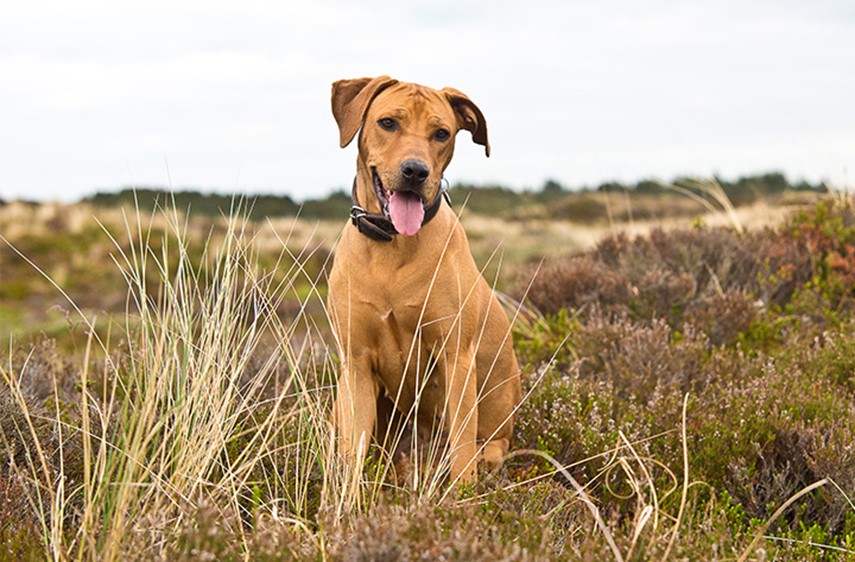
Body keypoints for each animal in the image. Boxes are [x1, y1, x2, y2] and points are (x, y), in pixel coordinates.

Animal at [326, 75, 520, 482]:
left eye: (441, 133)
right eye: (388, 123)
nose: (416, 171)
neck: (392, 247)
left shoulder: (455, 359)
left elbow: (462, 451)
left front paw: (461, 495)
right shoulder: (356, 365)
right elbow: (352, 455)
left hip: (495, 431)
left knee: (485, 448)